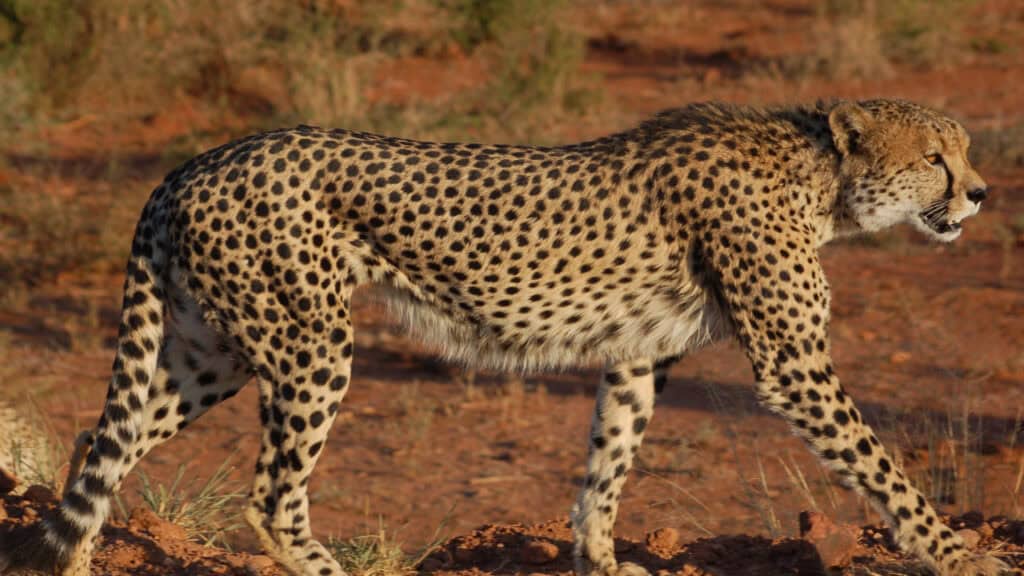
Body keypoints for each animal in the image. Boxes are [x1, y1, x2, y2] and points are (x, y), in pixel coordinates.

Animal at [0, 99, 1007, 573]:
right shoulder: (795, 364)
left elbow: (607, 466)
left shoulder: (637, 354)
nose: (980, 193)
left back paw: (76, 562)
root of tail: (200, 159)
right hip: (309, 345)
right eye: (935, 158)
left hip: (215, 346)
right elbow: (884, 469)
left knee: (100, 442)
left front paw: (600, 561)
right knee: (270, 498)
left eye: (963, 150)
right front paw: (956, 554)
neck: (823, 182)